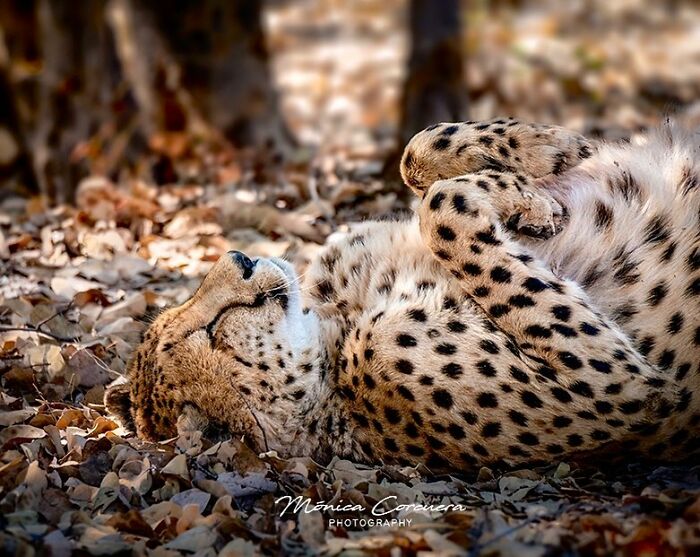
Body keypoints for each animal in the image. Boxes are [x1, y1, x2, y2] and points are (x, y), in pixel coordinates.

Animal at [106, 117, 700, 473]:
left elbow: (417, 155)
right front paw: (526, 197)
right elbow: (444, 210)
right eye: (208, 329)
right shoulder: (620, 387)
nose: (241, 259)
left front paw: (549, 154)